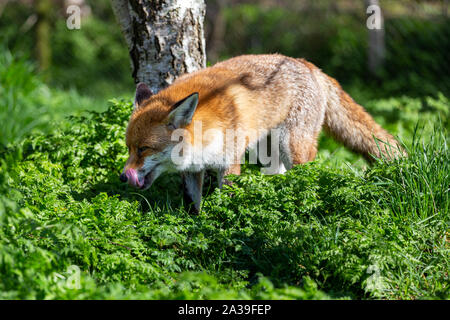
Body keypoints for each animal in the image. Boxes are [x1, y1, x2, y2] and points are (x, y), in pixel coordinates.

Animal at [120, 53, 404, 214]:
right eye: (129, 148)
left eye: (144, 148)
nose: (123, 177)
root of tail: (308, 64)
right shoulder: (192, 169)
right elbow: (193, 205)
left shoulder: (229, 163)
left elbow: (227, 201)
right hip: (267, 153)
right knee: (278, 176)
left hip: (293, 148)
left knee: (308, 177)